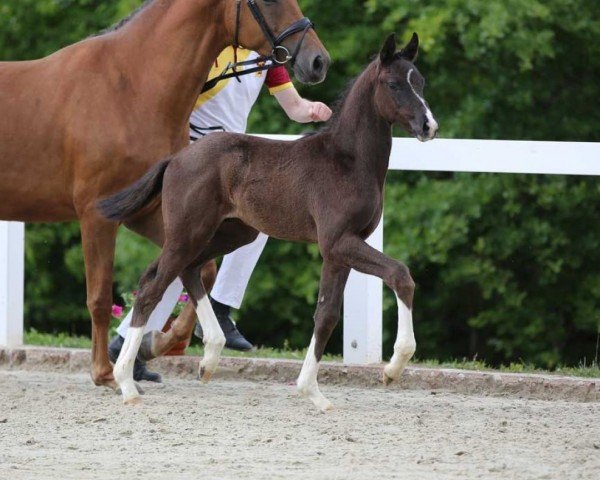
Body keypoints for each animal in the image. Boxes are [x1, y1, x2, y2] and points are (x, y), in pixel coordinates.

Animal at [0, 0, 328, 388]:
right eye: (268, 1)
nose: (319, 61)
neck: (129, 87)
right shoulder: (97, 215)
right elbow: (100, 297)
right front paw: (105, 372)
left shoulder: (147, 211)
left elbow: (197, 271)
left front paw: (158, 344)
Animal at [97, 32, 436, 408]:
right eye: (393, 84)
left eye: (420, 82)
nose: (428, 126)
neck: (347, 161)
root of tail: (176, 158)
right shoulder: (337, 242)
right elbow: (399, 275)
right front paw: (392, 368)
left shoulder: (341, 250)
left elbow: (327, 314)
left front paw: (313, 392)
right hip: (188, 233)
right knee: (150, 290)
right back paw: (127, 383)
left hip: (230, 234)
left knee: (187, 271)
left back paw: (209, 358)